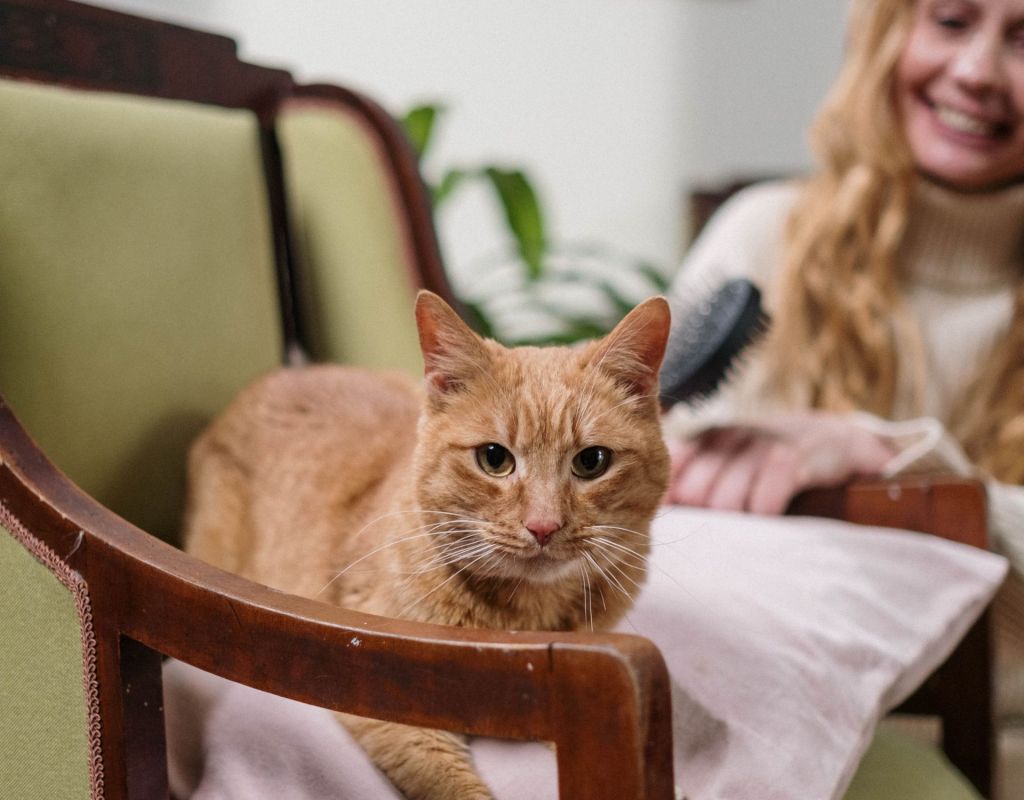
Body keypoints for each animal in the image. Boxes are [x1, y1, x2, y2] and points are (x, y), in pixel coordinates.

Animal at [184, 290, 671, 798]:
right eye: (494, 459)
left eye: (592, 462)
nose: (543, 526)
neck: (526, 625)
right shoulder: (386, 703)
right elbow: (454, 786)